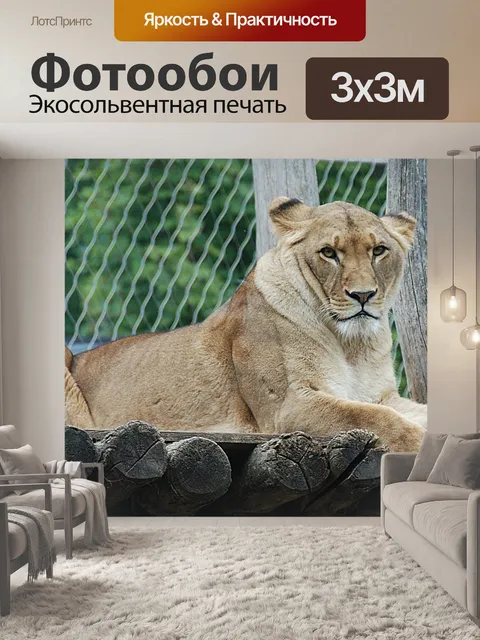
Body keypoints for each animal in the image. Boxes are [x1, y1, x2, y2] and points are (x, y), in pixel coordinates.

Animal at [65, 198, 427, 452]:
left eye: (378, 250)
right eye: (328, 253)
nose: (363, 295)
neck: (350, 343)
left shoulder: (382, 395)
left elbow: (411, 410)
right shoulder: (287, 407)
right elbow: (374, 417)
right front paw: (419, 442)